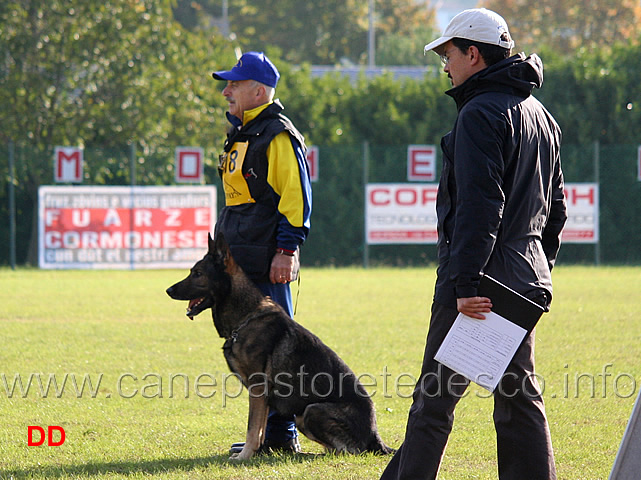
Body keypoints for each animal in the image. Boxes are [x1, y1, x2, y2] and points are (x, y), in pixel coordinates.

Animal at [165, 234, 392, 460]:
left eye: (198, 273)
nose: (168, 290)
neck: (246, 318)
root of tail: (376, 437)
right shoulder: (262, 396)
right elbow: (259, 430)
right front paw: (255, 452)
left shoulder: (257, 388)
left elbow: (252, 428)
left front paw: (243, 457)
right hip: (302, 416)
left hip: (311, 411)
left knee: (346, 451)